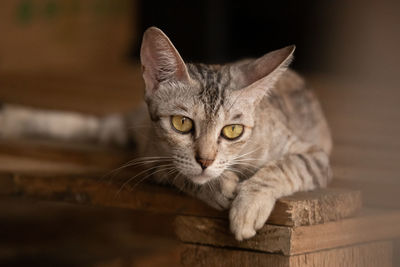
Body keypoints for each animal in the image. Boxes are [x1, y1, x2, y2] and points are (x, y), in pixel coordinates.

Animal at [0, 26, 332, 241]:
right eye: (182, 124)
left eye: (233, 130)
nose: (205, 161)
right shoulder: (152, 158)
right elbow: (181, 174)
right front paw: (216, 186)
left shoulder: (316, 155)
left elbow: (286, 166)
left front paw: (248, 205)